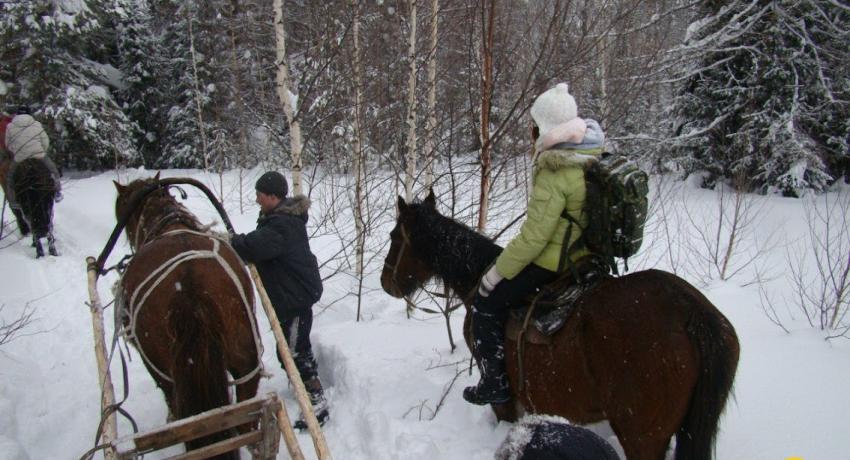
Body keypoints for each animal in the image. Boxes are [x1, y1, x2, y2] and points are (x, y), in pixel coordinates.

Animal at [380, 190, 740, 460]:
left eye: (395, 236)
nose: (386, 283)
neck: (479, 280)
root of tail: (692, 313)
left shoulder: (503, 398)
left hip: (642, 437)